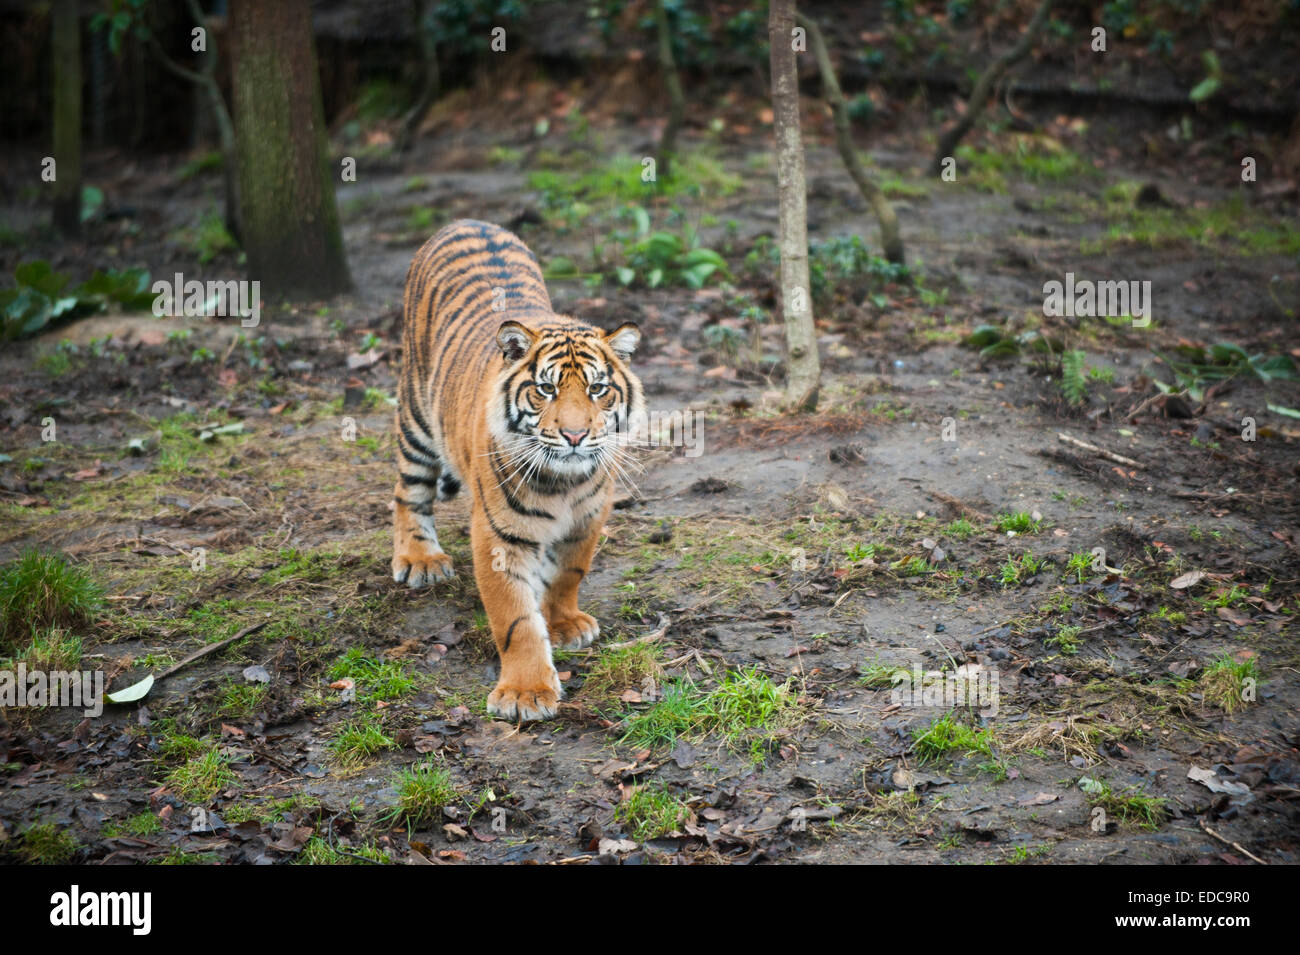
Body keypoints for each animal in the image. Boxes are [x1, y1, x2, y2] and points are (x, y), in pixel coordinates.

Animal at [390, 218, 644, 722]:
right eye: (545, 390)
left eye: (598, 389)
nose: (574, 435)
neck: (565, 484)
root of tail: (464, 221)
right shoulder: (499, 537)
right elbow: (515, 619)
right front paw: (526, 692)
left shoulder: (589, 517)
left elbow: (568, 574)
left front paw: (564, 623)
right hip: (417, 416)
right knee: (407, 491)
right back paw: (421, 560)